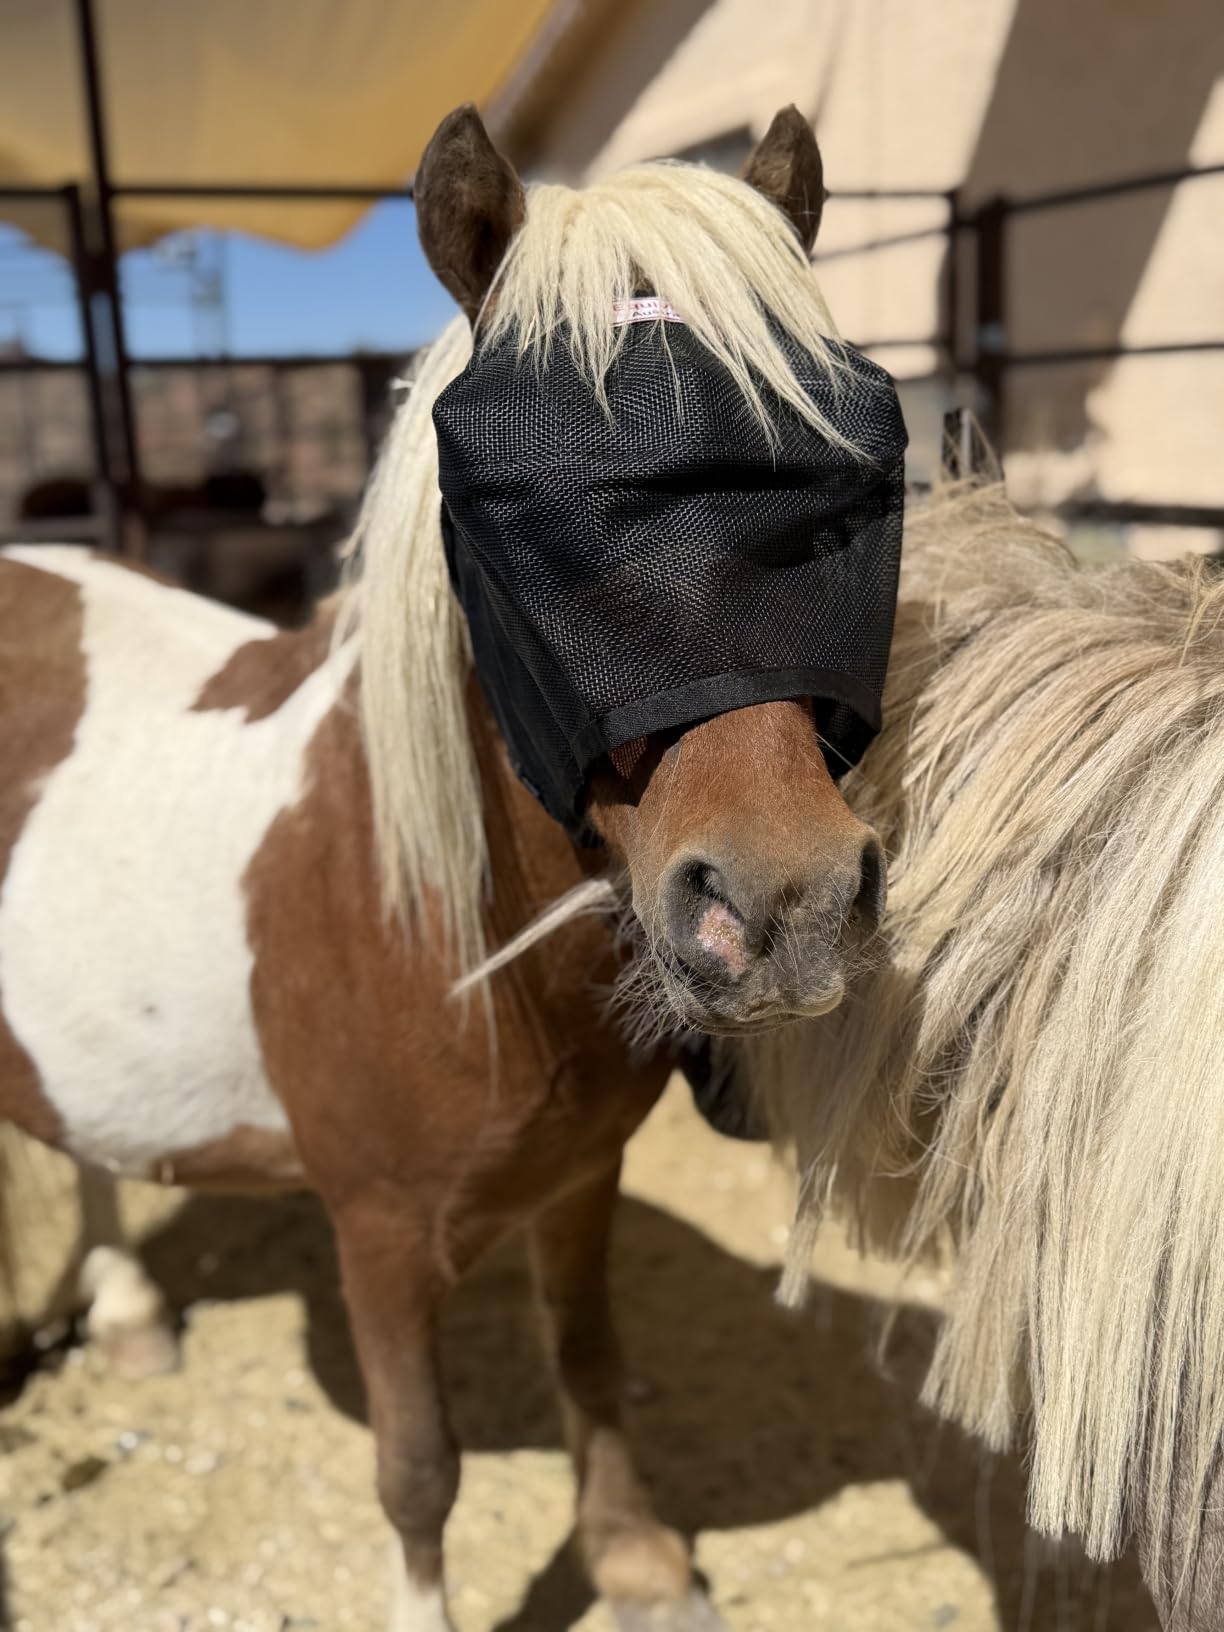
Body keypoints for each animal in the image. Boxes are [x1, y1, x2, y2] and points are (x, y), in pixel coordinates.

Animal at [0, 105, 886, 1632]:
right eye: (527, 523)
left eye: (837, 505)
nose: (787, 904)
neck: (429, 910)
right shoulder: (379, 1233)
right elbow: (418, 1468)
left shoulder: (581, 1177)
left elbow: (588, 1357)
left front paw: (636, 1561)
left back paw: (124, 1310)